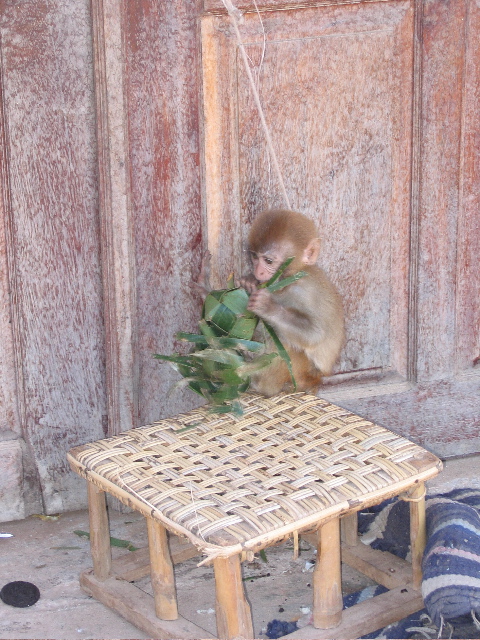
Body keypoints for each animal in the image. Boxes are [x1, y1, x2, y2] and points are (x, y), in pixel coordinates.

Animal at [240, 209, 344, 396]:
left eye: (268, 261)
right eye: (254, 256)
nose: (258, 272)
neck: (290, 278)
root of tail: (316, 381)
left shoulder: (304, 291)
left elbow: (314, 335)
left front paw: (268, 307)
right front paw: (249, 282)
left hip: (300, 374)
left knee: (284, 344)